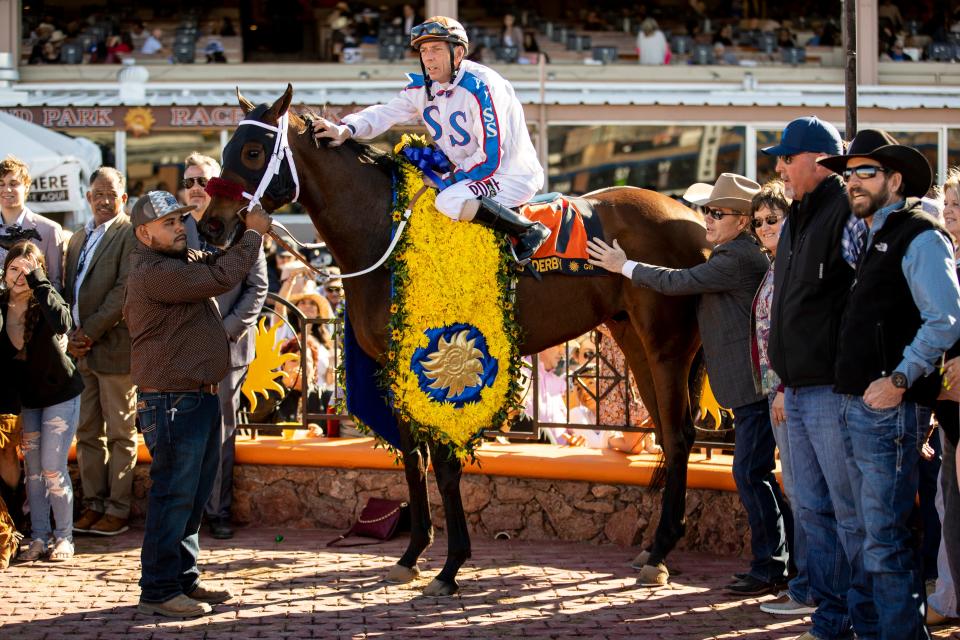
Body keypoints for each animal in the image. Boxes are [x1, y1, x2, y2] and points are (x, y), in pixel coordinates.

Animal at [204, 84, 712, 596]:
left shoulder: (446, 364)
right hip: (633, 339)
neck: (386, 234)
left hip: (668, 346)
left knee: (680, 435)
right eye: (225, 151)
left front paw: (450, 566)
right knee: (666, 434)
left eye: (252, 151)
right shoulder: (395, 368)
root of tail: (691, 217)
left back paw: (660, 551)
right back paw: (653, 548)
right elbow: (413, 460)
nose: (211, 225)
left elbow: (446, 465)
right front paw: (411, 555)